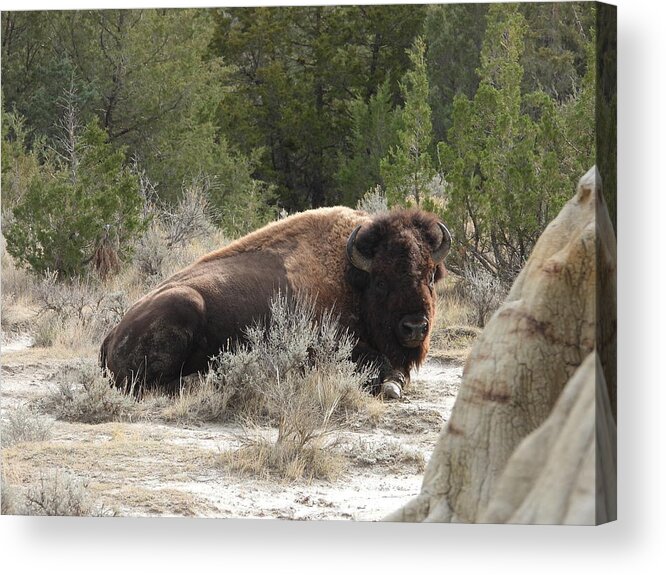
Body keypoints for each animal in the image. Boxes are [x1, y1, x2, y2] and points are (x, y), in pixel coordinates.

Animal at [100, 207, 452, 400]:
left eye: (430, 275)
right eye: (380, 281)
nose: (415, 327)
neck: (349, 276)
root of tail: (111, 334)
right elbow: (380, 366)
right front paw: (392, 384)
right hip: (184, 303)